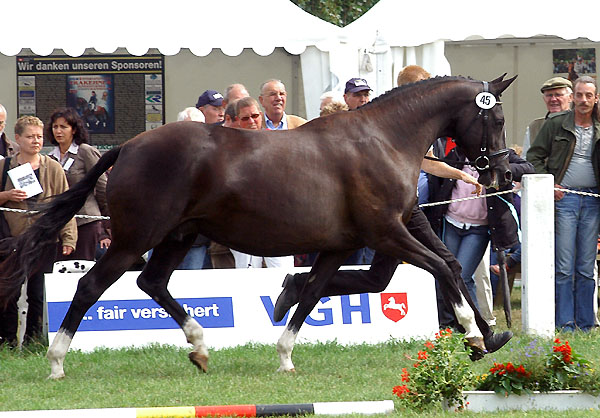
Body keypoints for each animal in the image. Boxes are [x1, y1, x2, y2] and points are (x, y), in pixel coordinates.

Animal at [0, 74, 516, 378]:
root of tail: (127, 146)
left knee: (153, 282)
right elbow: (444, 267)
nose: (503, 173)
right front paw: (477, 336)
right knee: (91, 286)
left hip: (178, 236)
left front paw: (285, 353)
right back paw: (56, 362)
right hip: (135, 239)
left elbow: (313, 291)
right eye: (495, 116)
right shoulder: (387, 233)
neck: (381, 140)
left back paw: (200, 348)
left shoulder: (339, 246)